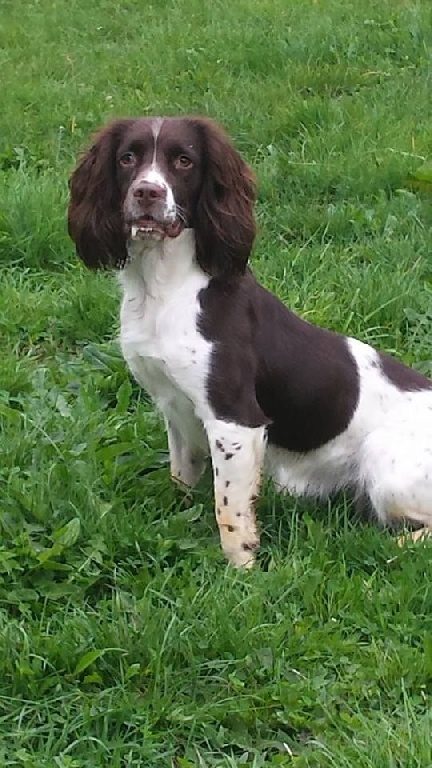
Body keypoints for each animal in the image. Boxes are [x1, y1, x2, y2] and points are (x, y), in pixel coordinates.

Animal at [67, 117, 432, 568]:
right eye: (127, 158)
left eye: (184, 161)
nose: (147, 192)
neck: (165, 289)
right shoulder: (174, 406)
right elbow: (181, 477)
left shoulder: (234, 421)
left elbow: (229, 510)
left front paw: (242, 570)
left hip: (385, 467)